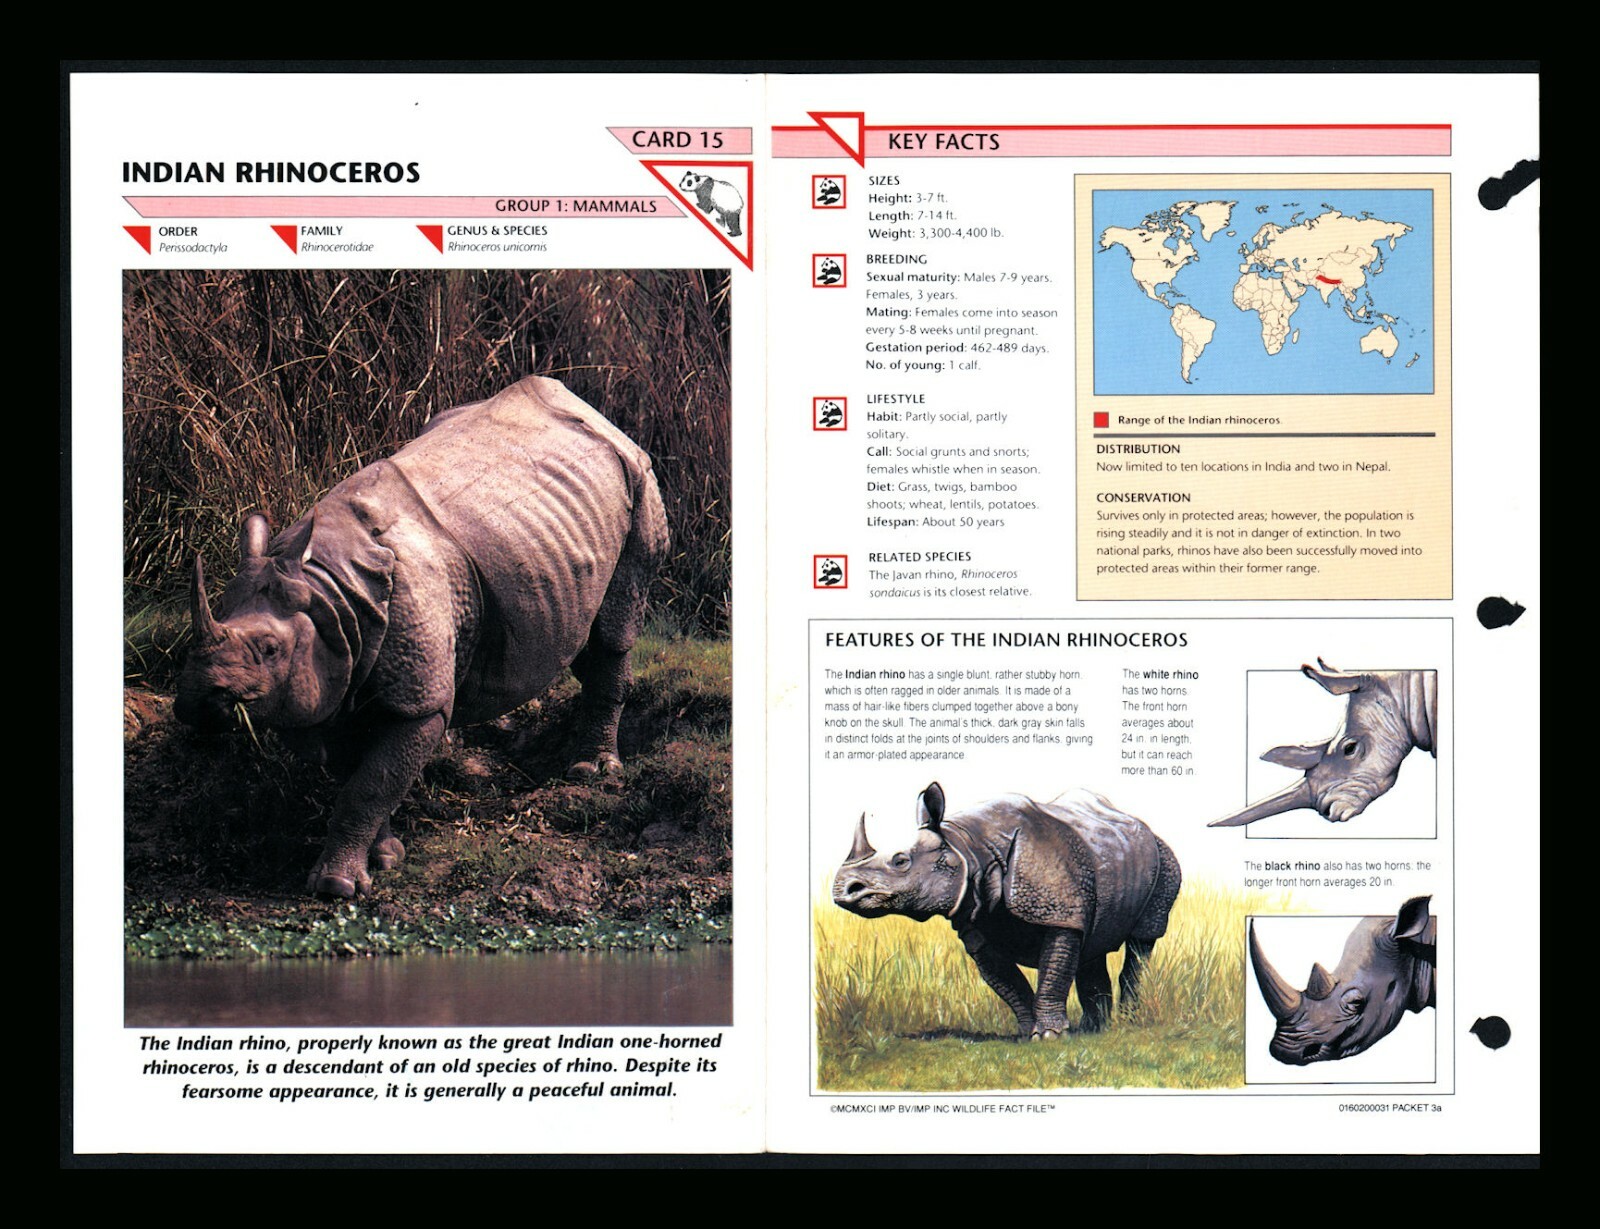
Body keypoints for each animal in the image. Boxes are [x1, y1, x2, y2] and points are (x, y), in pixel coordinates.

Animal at [175, 375, 670, 898]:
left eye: (269, 650)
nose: (198, 701)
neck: (330, 591)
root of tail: (593, 413)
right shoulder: (339, 669)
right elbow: (356, 773)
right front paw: (384, 857)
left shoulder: (419, 699)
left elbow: (372, 781)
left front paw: (335, 887)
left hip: (638, 475)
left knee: (613, 627)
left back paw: (592, 772)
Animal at [832, 783, 1182, 1039]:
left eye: (901, 861)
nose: (842, 889)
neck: (968, 848)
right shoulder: (975, 919)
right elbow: (1008, 982)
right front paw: (1029, 1034)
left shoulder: (1059, 910)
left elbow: (1054, 971)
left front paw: (1050, 1036)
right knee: (1092, 942)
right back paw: (1093, 1030)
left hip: (1165, 859)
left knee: (1141, 943)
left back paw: (1126, 1022)